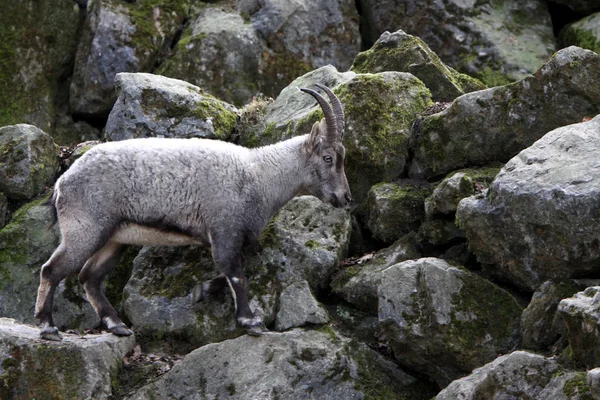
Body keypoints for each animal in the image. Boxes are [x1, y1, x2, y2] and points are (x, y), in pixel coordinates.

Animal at [36, 84, 352, 340]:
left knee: (89, 277)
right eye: (328, 158)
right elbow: (236, 273)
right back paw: (49, 327)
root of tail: (62, 183)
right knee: (52, 269)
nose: (345, 197)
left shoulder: (235, 237)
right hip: (85, 230)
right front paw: (250, 321)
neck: (259, 175)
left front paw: (201, 291)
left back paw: (117, 325)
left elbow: (231, 270)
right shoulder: (224, 229)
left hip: (115, 239)